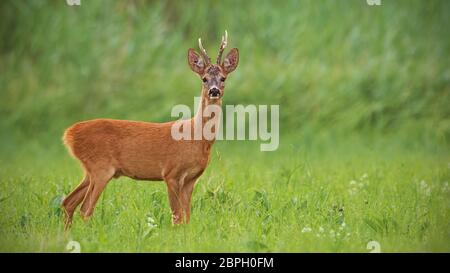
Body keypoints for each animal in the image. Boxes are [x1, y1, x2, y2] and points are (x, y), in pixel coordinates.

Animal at [61, 30, 241, 228]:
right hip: (101, 167)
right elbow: (177, 216)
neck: (197, 137)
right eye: (204, 79)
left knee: (68, 202)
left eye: (223, 78)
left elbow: (186, 217)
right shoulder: (171, 173)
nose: (214, 91)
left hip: (90, 171)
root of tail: (68, 135)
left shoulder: (191, 179)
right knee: (85, 209)